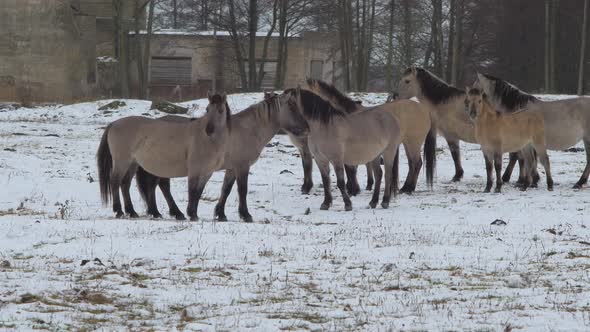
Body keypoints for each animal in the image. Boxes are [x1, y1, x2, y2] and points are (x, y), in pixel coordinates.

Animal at [98, 92, 230, 220]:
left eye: (220, 110)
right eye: (207, 109)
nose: (208, 130)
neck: (208, 140)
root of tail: (113, 123)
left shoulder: (207, 172)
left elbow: (198, 193)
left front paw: (195, 214)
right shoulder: (194, 170)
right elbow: (192, 191)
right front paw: (192, 214)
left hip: (133, 163)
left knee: (125, 184)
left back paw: (132, 212)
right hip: (122, 161)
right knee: (115, 181)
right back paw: (119, 211)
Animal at [134, 90, 310, 223]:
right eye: (292, 106)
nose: (306, 128)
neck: (246, 129)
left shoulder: (231, 168)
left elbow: (226, 189)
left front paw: (220, 214)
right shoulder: (242, 166)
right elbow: (242, 190)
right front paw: (245, 215)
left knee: (157, 185)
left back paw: (163, 212)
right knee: (158, 185)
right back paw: (168, 212)